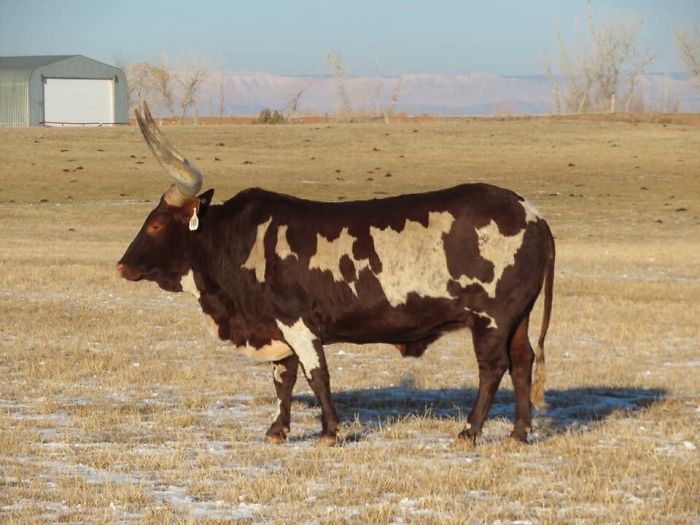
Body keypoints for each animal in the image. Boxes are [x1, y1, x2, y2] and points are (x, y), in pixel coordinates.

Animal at [118, 102, 555, 446]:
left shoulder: (297, 323)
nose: (122, 265)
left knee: (493, 367)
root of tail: (533, 215)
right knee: (522, 362)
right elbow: (284, 378)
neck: (240, 242)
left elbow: (316, 376)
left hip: (490, 319)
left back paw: (469, 431)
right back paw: (518, 434)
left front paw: (329, 431)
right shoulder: (278, 328)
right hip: (518, 318)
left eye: (156, 224)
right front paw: (278, 429)